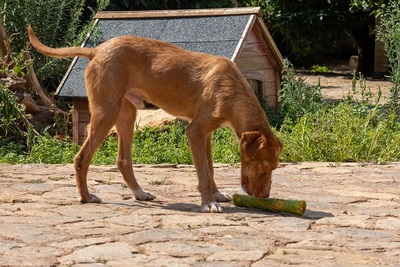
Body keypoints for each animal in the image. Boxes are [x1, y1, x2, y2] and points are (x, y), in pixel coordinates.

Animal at [27, 25, 282, 214]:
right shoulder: (195, 132)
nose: (266, 196)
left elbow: (209, 168)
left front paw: (216, 194)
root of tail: (97, 50)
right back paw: (86, 197)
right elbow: (203, 171)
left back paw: (139, 193)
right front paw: (209, 202)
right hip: (106, 113)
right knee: (82, 158)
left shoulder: (206, 134)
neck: (233, 88)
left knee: (123, 160)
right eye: (264, 165)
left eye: (274, 167)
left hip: (126, 115)